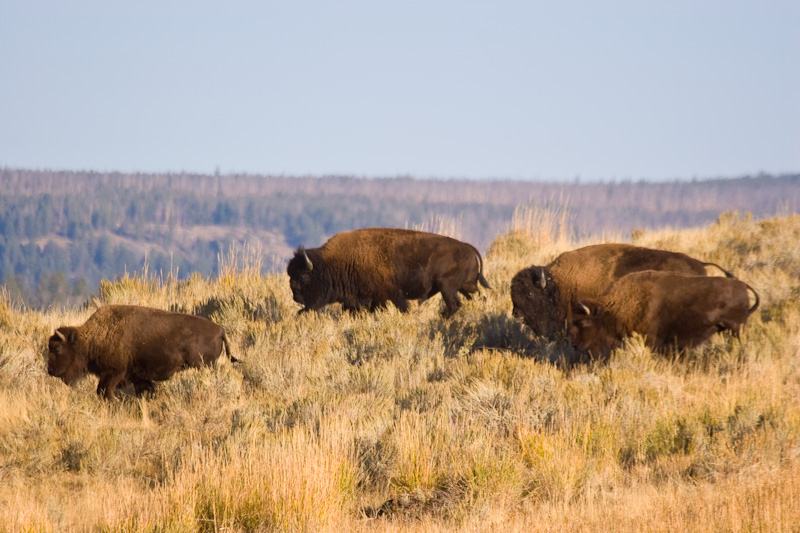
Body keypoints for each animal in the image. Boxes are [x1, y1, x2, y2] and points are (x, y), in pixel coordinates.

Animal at [47, 304, 236, 400]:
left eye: (57, 348)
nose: (50, 370)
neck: (92, 337)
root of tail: (220, 330)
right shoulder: (138, 377)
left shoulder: (113, 373)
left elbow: (103, 391)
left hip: (204, 366)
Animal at [288, 228, 488, 316]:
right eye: (290, 275)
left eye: (304, 276)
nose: (295, 297)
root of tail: (468, 247)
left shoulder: (391, 295)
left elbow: (402, 307)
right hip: (466, 286)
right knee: (478, 298)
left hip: (447, 287)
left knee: (454, 304)